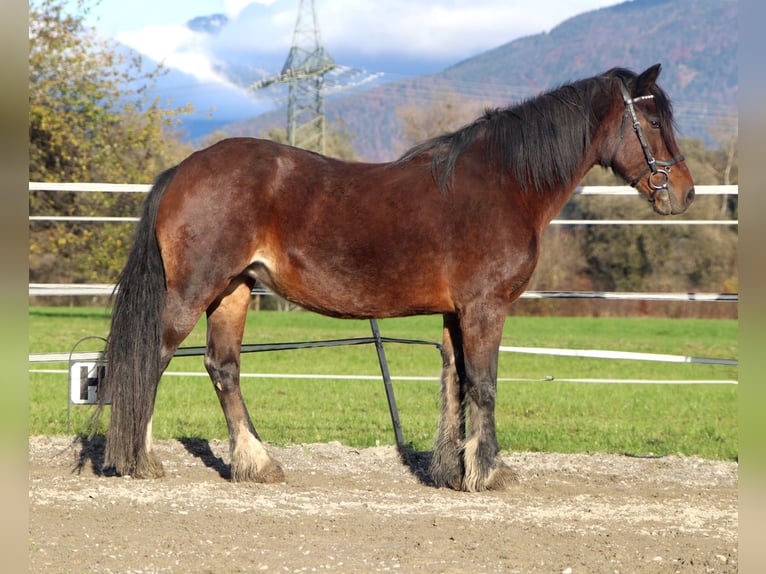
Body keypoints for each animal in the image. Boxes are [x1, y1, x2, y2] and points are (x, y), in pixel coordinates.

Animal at [98, 63, 694, 491]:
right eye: (654, 122)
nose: (685, 192)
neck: (503, 182)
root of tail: (184, 169)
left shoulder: (456, 313)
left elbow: (456, 384)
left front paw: (452, 472)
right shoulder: (485, 307)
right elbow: (484, 385)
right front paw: (489, 472)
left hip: (234, 291)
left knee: (223, 368)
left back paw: (257, 464)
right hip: (194, 291)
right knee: (151, 358)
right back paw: (139, 459)